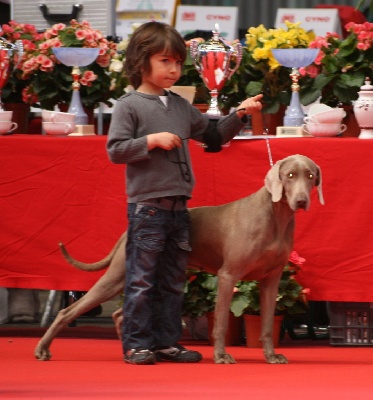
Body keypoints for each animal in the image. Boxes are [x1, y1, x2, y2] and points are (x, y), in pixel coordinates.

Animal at [36, 155, 324, 364]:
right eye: (290, 175)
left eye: (310, 176)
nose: (301, 200)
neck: (276, 217)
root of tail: (127, 231)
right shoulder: (228, 275)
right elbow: (221, 322)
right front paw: (221, 355)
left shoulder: (271, 281)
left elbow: (266, 324)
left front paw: (271, 356)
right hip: (118, 275)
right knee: (68, 311)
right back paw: (43, 349)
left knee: (119, 313)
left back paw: (131, 350)